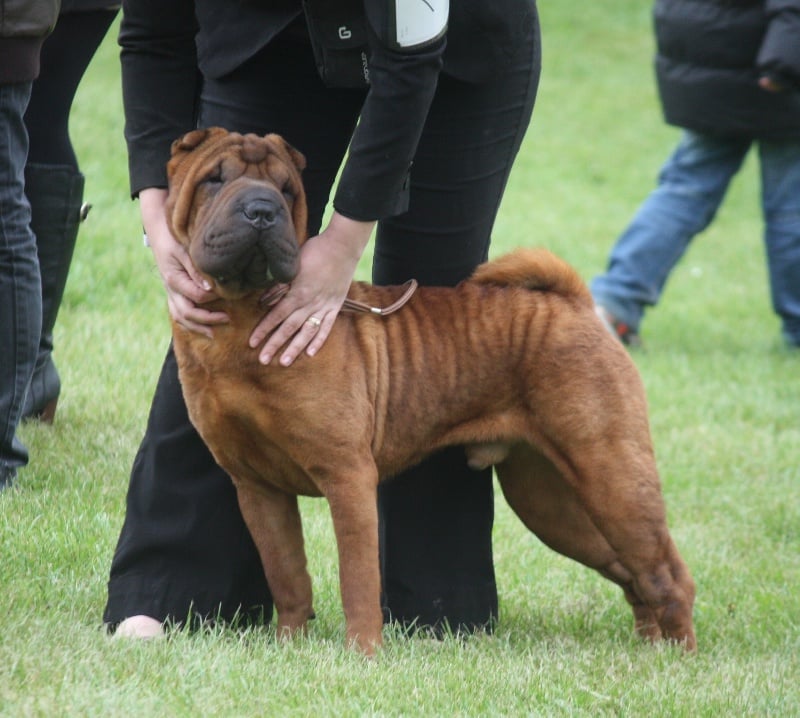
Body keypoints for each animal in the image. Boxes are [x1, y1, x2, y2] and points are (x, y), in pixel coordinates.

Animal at [167, 126, 692, 656]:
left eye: (287, 190)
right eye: (214, 179)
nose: (262, 209)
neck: (240, 320)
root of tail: (575, 303)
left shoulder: (347, 475)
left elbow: (357, 578)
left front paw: (363, 654)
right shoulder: (256, 486)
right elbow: (288, 576)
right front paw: (291, 646)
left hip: (611, 474)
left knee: (668, 574)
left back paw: (677, 658)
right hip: (550, 500)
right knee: (632, 572)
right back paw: (650, 647)